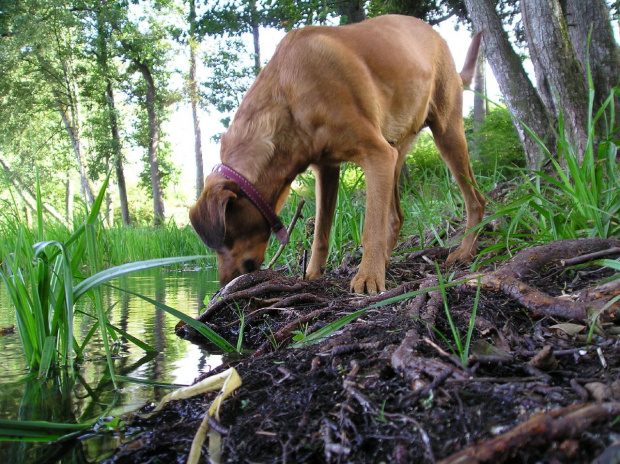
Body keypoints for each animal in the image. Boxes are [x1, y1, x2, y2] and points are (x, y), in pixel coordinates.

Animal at [189, 17, 484, 298]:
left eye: (224, 239)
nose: (224, 284)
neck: (289, 94)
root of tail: (437, 36)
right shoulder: (327, 168)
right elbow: (321, 232)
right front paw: (312, 275)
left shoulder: (377, 155)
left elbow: (370, 229)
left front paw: (368, 278)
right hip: (397, 150)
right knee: (395, 216)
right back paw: (385, 261)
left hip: (445, 132)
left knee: (475, 200)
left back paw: (463, 251)